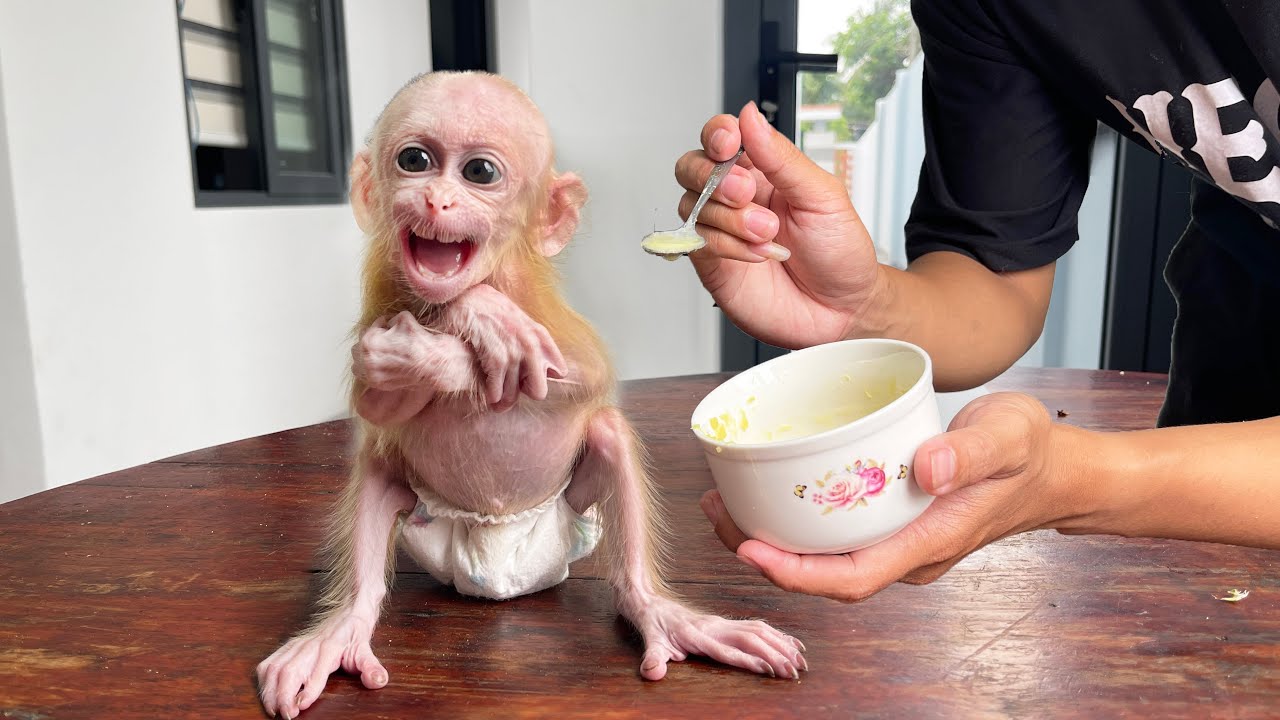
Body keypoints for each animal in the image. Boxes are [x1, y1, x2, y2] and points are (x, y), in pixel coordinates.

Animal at [254, 71, 806, 719]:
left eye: (479, 173)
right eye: (415, 161)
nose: (436, 200)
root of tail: (497, 571)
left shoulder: (533, 297)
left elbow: (591, 373)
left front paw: (458, 337)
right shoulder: (389, 283)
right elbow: (374, 398)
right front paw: (464, 326)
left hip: (570, 523)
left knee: (606, 431)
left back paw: (656, 609)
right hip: (428, 528)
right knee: (378, 459)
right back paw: (347, 623)